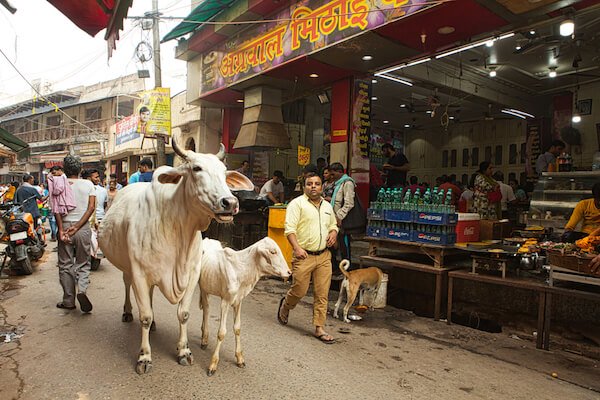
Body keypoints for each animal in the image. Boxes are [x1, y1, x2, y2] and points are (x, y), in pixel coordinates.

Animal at [97, 139, 252, 374]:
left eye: (224, 172)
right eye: (196, 168)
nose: (230, 203)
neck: (178, 227)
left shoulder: (192, 275)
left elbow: (184, 314)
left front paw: (184, 351)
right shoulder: (140, 273)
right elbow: (145, 316)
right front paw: (144, 357)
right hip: (127, 267)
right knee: (127, 285)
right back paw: (127, 312)